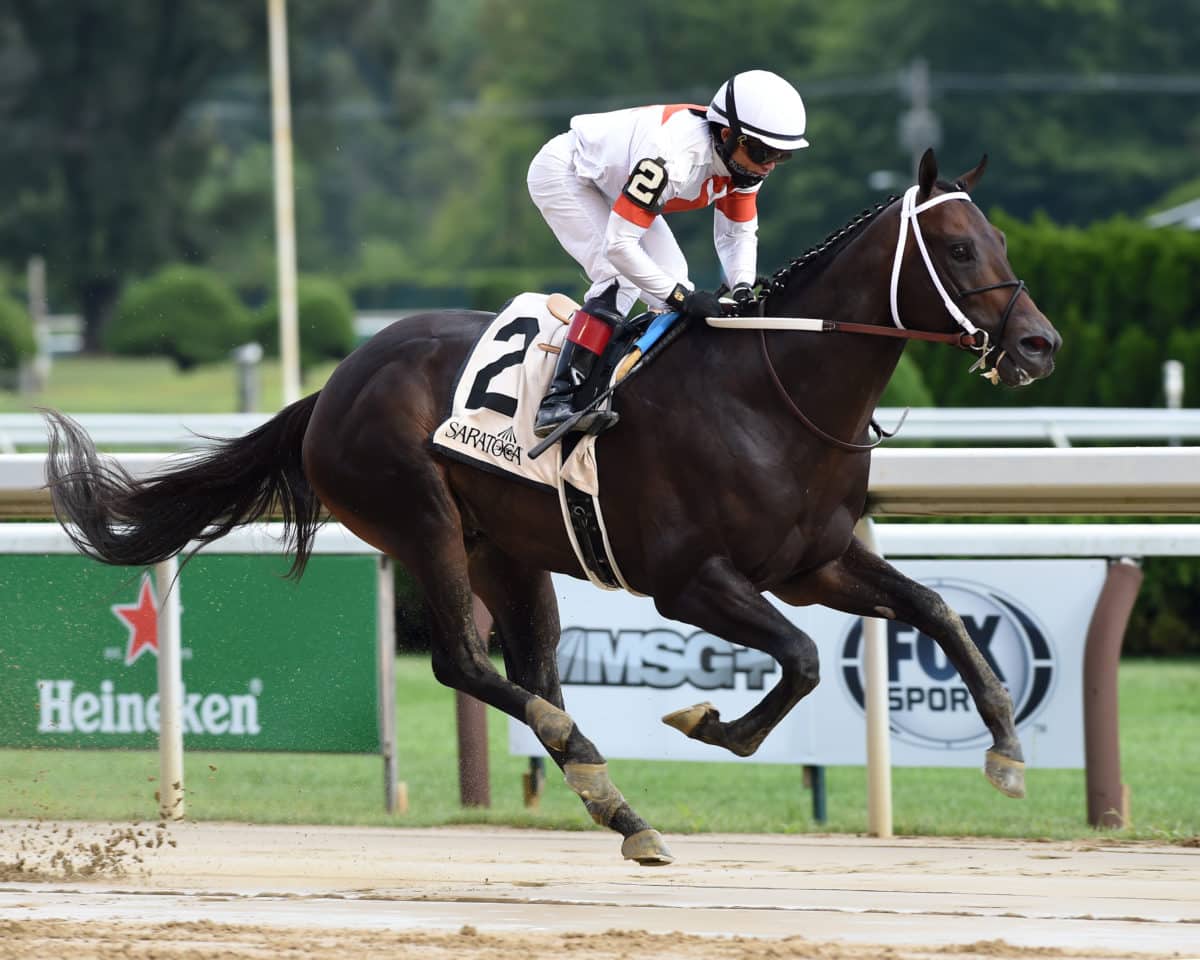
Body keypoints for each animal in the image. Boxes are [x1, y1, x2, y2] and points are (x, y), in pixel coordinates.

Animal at [44, 150, 1060, 864]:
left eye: (1006, 245)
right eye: (959, 248)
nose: (1039, 345)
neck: (770, 393)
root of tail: (333, 385)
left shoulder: (816, 562)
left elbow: (932, 610)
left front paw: (1008, 750)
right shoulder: (691, 581)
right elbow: (806, 660)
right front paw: (711, 724)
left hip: (510, 549)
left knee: (532, 673)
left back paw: (619, 807)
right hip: (422, 521)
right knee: (465, 663)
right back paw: (586, 756)